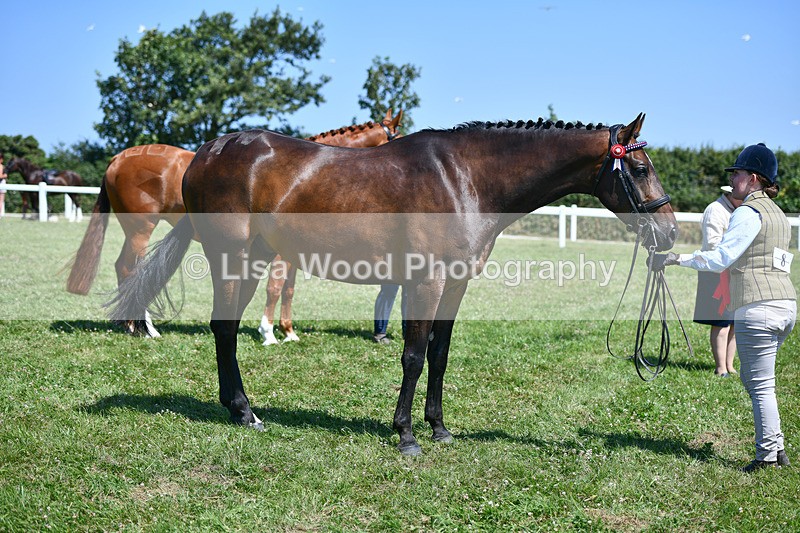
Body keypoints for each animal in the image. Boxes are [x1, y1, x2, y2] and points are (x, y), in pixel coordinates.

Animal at [67, 110, 403, 337]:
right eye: (397, 137)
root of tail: (118, 159)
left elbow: (289, 289)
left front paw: (288, 331)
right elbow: (275, 287)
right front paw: (268, 333)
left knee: (123, 268)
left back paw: (129, 323)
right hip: (141, 229)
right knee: (130, 268)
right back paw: (145, 327)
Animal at [109, 113, 678, 455]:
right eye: (640, 168)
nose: (670, 233)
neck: (465, 179)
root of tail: (206, 152)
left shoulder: (454, 285)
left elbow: (440, 355)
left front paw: (439, 428)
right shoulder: (424, 282)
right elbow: (414, 355)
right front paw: (406, 435)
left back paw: (237, 408)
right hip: (233, 258)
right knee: (224, 330)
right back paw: (245, 412)